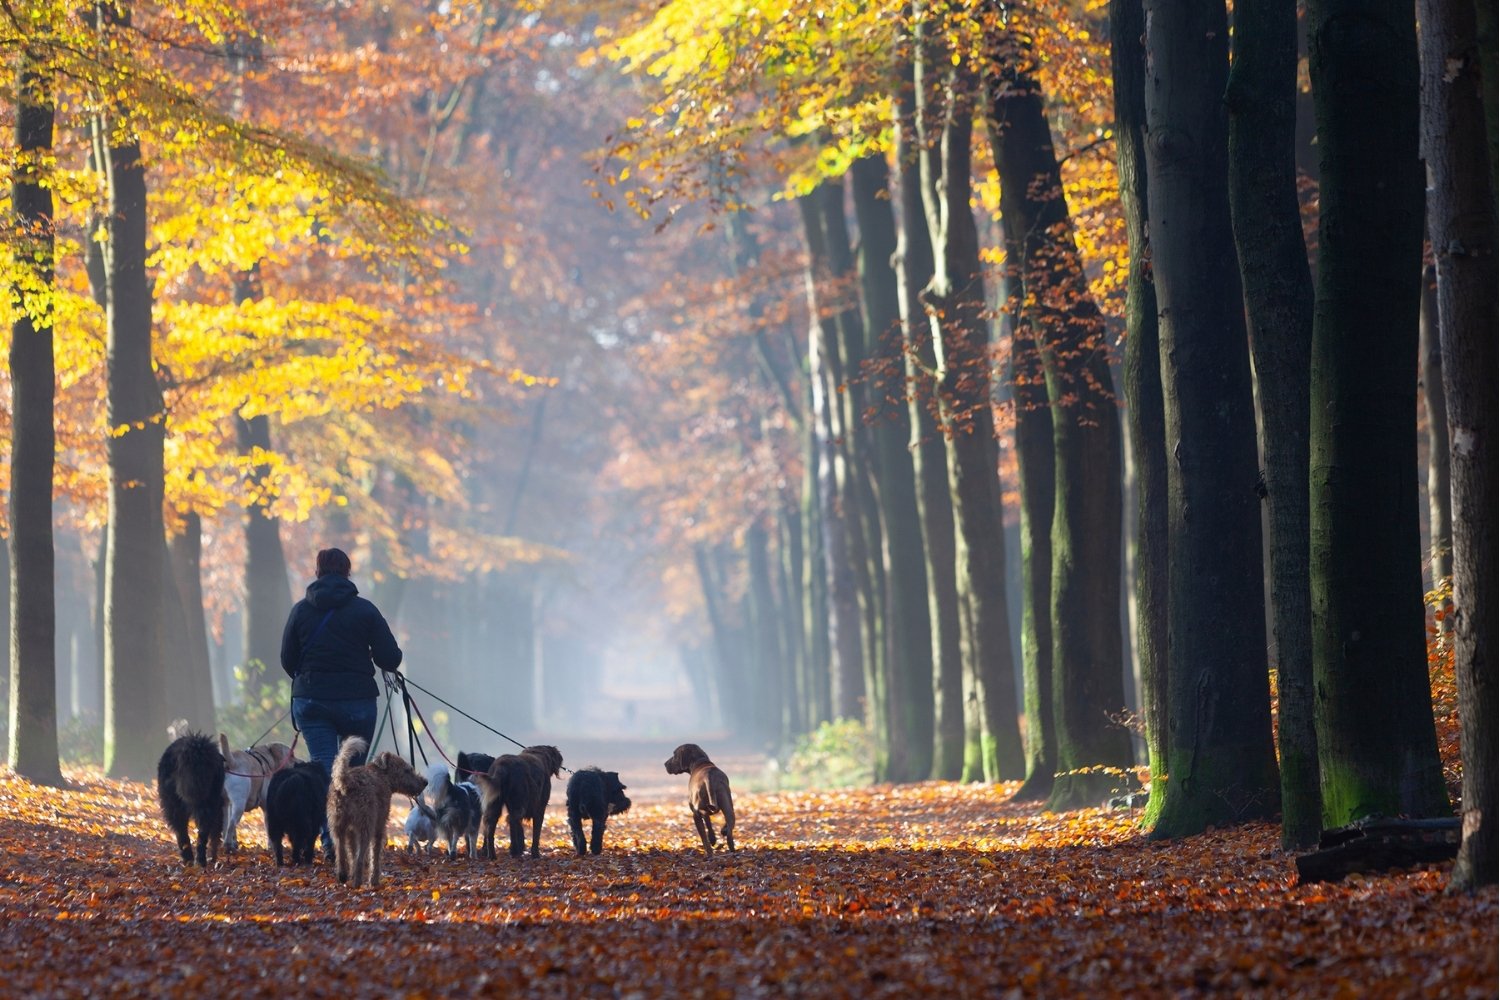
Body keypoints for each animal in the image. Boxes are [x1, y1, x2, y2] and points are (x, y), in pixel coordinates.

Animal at [155, 728, 225, 869]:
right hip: (207, 802)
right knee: (202, 833)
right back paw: (200, 861)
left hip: (174, 804)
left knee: (183, 832)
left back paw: (189, 860)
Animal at [325, 731, 426, 887]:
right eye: (407, 770)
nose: (425, 782)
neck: (382, 776)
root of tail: (345, 782)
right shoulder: (379, 826)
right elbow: (375, 854)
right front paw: (374, 880)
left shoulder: (351, 831)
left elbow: (352, 852)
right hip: (366, 825)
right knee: (360, 858)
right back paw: (358, 883)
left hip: (337, 827)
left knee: (341, 853)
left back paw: (343, 876)